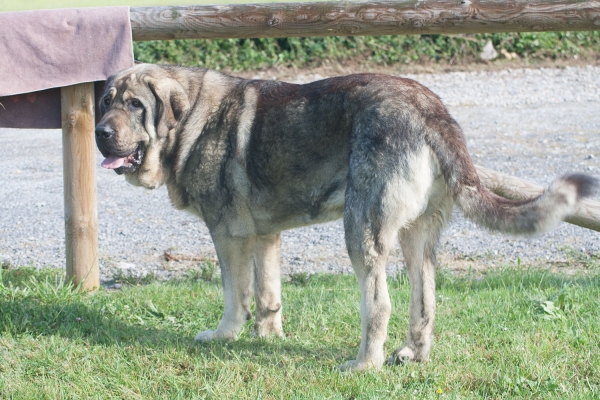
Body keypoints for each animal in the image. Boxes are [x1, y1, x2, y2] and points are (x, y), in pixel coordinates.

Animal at [95, 63, 596, 372]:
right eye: (106, 102)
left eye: (136, 105)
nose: (100, 133)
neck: (191, 118)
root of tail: (431, 111)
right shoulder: (265, 236)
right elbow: (268, 293)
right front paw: (268, 335)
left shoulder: (228, 234)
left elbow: (235, 296)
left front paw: (225, 336)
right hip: (417, 238)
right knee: (425, 302)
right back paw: (412, 354)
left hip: (361, 230)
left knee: (379, 304)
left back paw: (363, 364)